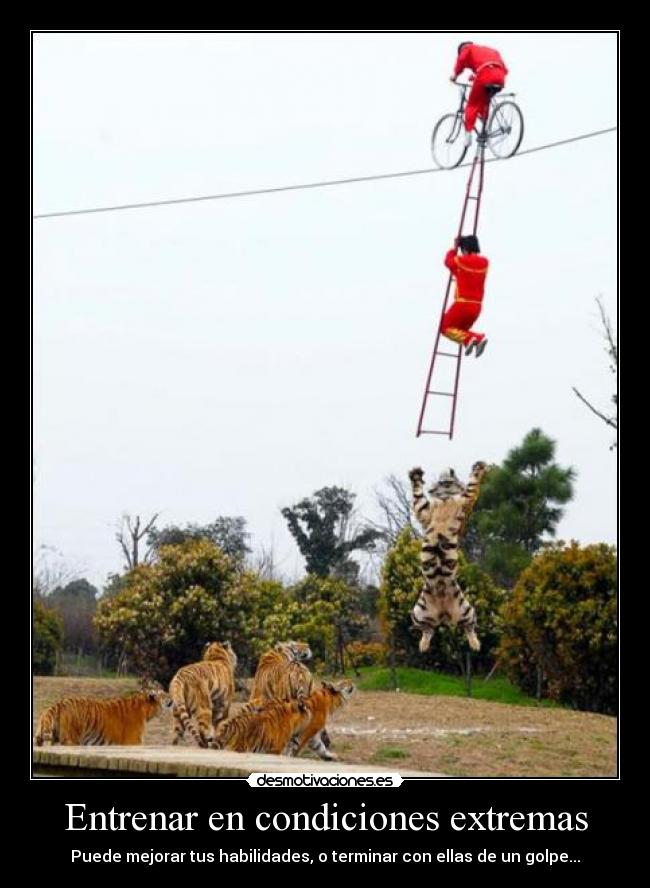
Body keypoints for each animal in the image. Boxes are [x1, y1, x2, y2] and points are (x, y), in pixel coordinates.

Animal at [34, 679, 172, 746]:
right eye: (164, 693)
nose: (171, 699)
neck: (145, 708)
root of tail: (57, 704)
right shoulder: (133, 741)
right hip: (71, 740)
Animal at [409, 462, 490, 653]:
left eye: (443, 482)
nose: (431, 490)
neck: (445, 499)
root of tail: (443, 615)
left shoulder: (466, 500)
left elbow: (472, 485)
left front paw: (479, 467)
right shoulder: (424, 511)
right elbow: (418, 497)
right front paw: (415, 475)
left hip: (467, 610)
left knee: (469, 628)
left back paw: (475, 645)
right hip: (418, 612)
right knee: (427, 630)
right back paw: (423, 646)